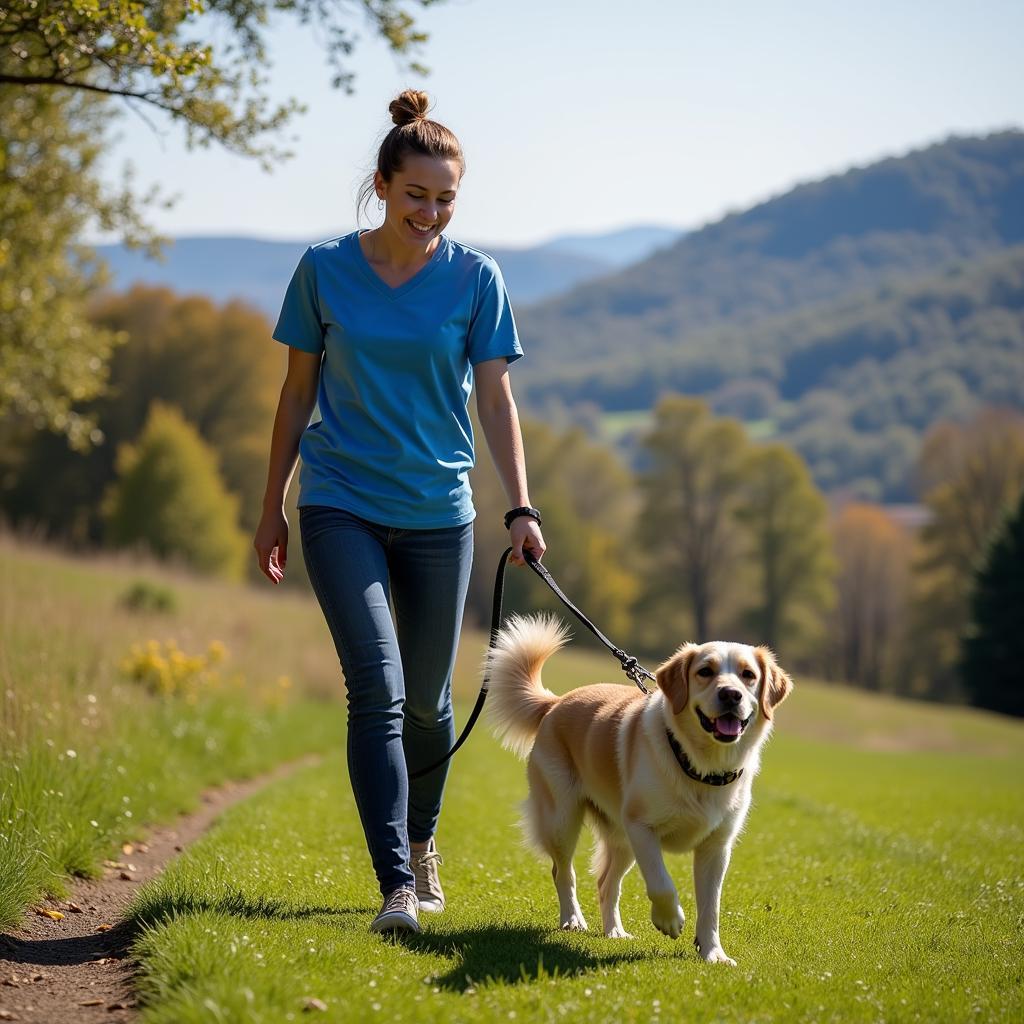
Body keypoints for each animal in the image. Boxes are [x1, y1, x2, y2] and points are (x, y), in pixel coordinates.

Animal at [485, 610, 790, 962]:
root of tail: (555, 702)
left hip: (621, 839)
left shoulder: (716, 847)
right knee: (563, 873)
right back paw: (573, 919)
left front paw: (713, 953)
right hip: (564, 819)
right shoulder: (642, 827)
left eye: (748, 675)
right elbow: (661, 883)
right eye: (705, 671)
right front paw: (670, 920)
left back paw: (614, 931)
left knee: (606, 883)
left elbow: (711, 906)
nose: (731, 694)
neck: (701, 766)